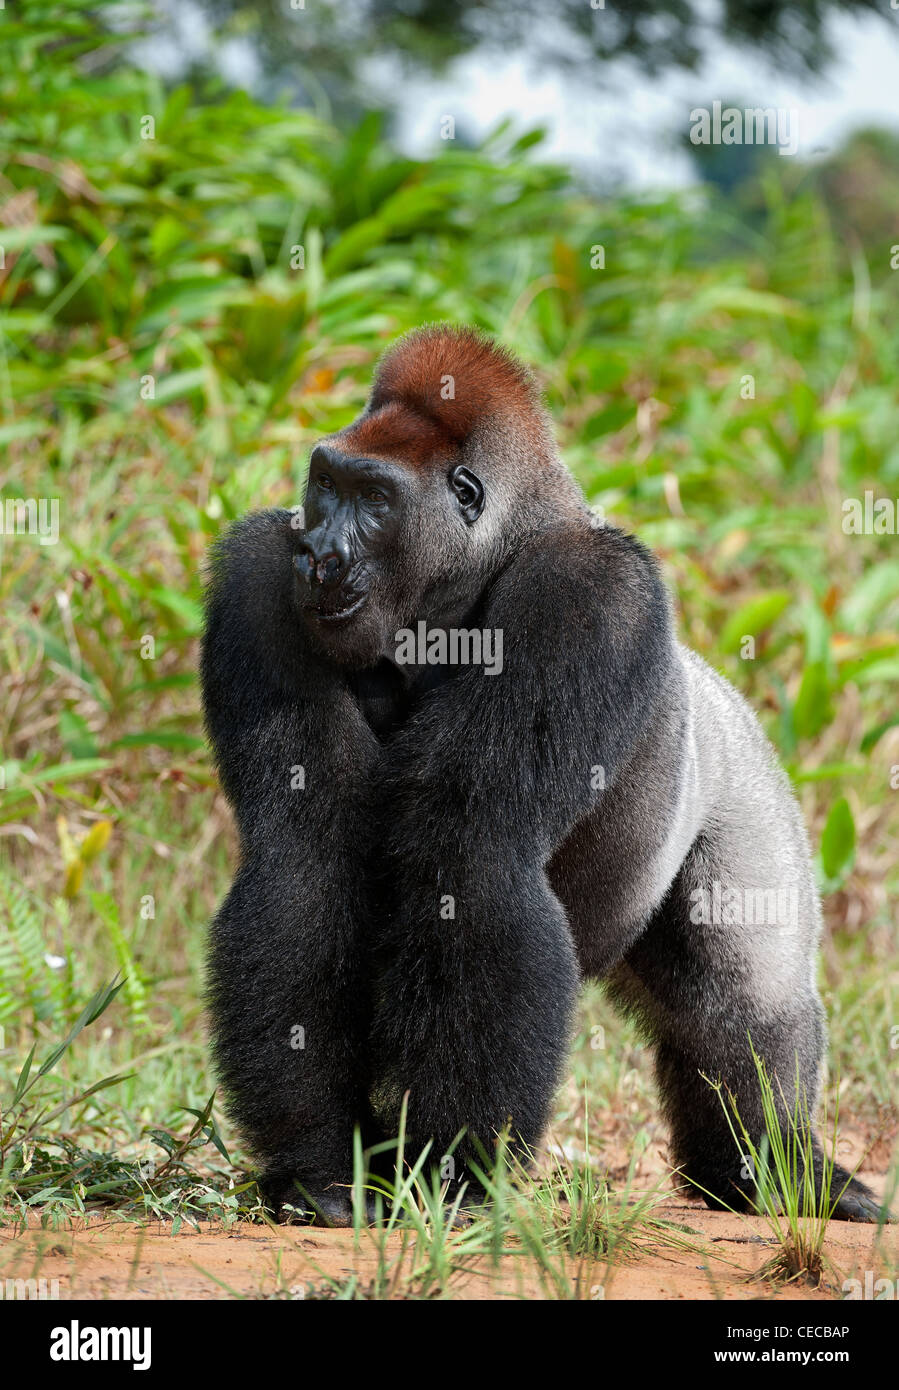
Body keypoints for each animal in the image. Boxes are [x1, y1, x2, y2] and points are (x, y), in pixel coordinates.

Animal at [200, 325, 883, 1228]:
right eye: (325, 486)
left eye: (374, 499)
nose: (317, 555)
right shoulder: (257, 572)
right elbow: (305, 853)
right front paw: (320, 1165)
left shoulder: (586, 590)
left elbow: (472, 850)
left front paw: (451, 1169)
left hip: (744, 778)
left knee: (745, 998)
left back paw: (769, 1166)